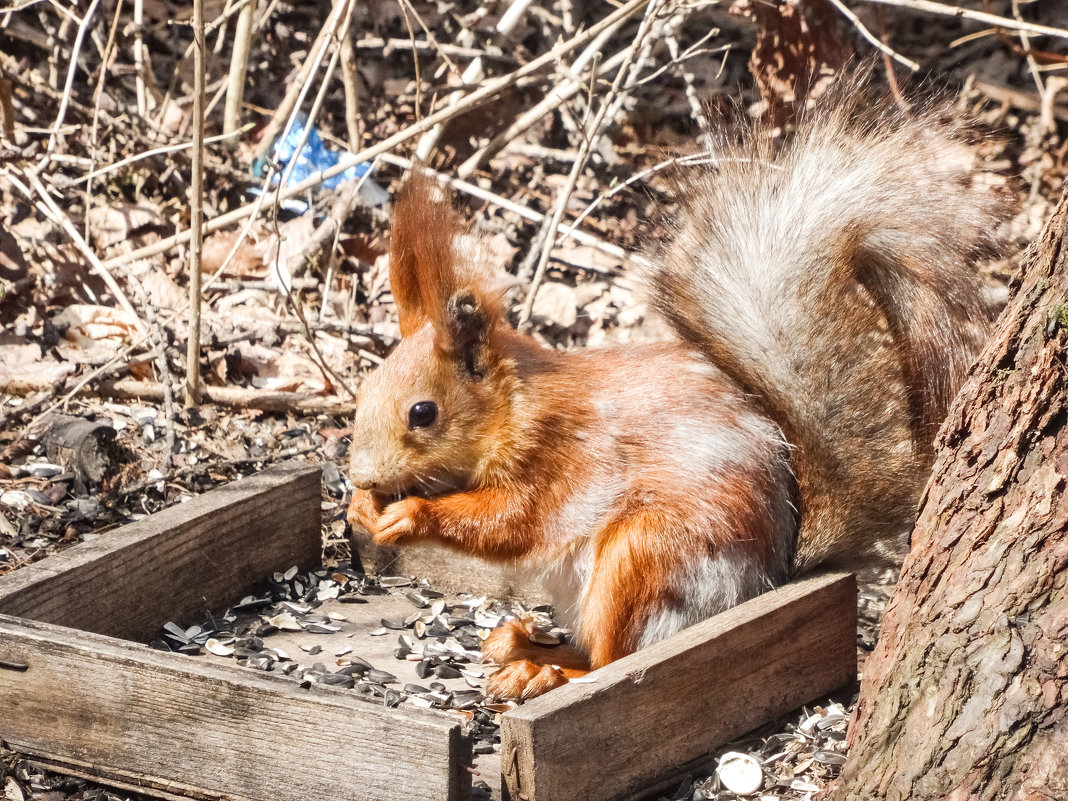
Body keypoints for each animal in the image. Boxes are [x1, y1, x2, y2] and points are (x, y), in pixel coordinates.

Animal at [346, 84, 1003, 700]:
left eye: (423, 412)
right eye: (364, 387)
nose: (361, 476)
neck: (516, 406)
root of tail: (766, 580)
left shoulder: (563, 453)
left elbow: (514, 521)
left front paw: (409, 514)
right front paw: (361, 509)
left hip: (648, 556)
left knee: (612, 661)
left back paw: (545, 671)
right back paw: (523, 643)